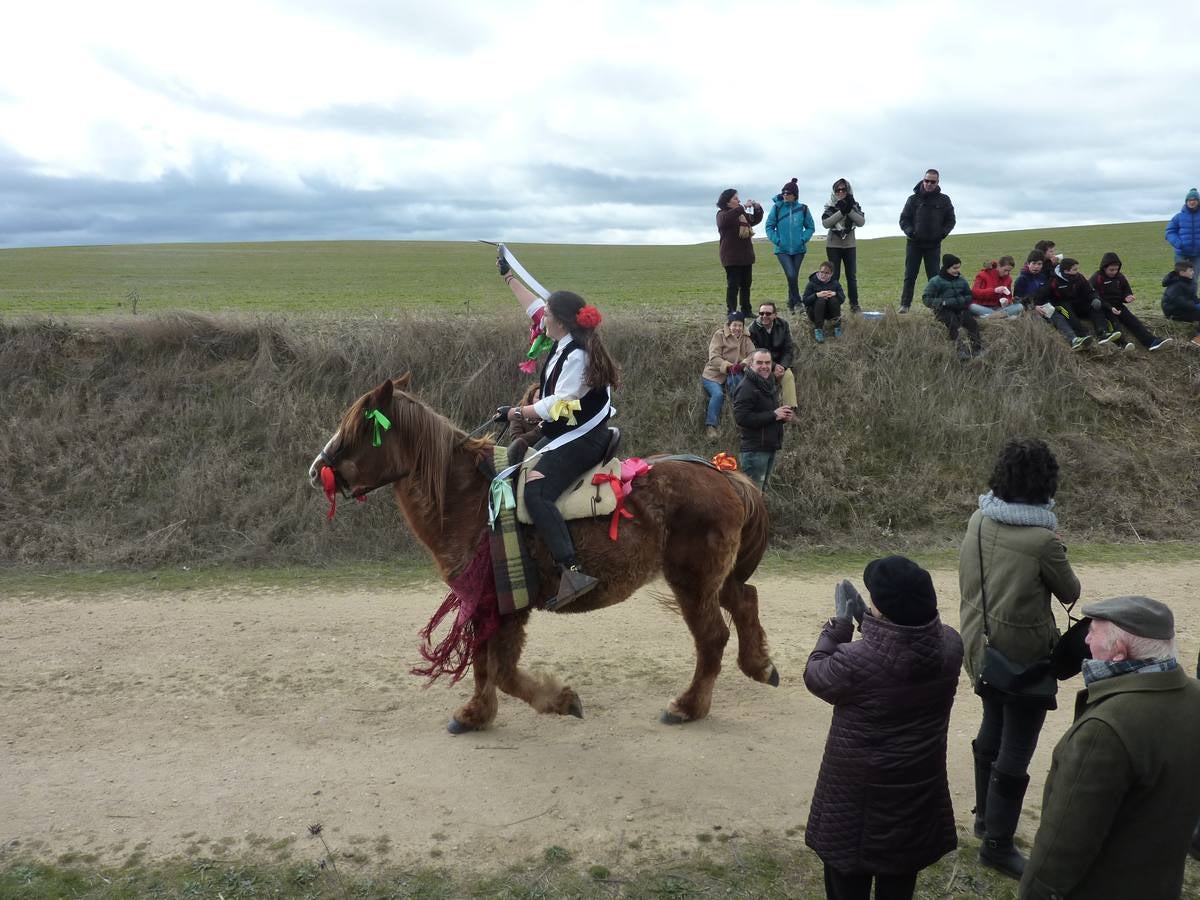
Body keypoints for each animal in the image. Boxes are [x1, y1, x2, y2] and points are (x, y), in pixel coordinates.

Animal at [309, 375, 778, 733]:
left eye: (357, 431)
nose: (316, 470)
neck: (467, 497)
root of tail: (725, 476)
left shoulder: (504, 603)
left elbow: (500, 669)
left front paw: (560, 700)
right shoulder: (484, 600)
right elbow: (483, 663)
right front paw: (476, 714)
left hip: (692, 582)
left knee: (712, 636)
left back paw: (688, 706)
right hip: (713, 577)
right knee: (745, 598)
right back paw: (759, 665)